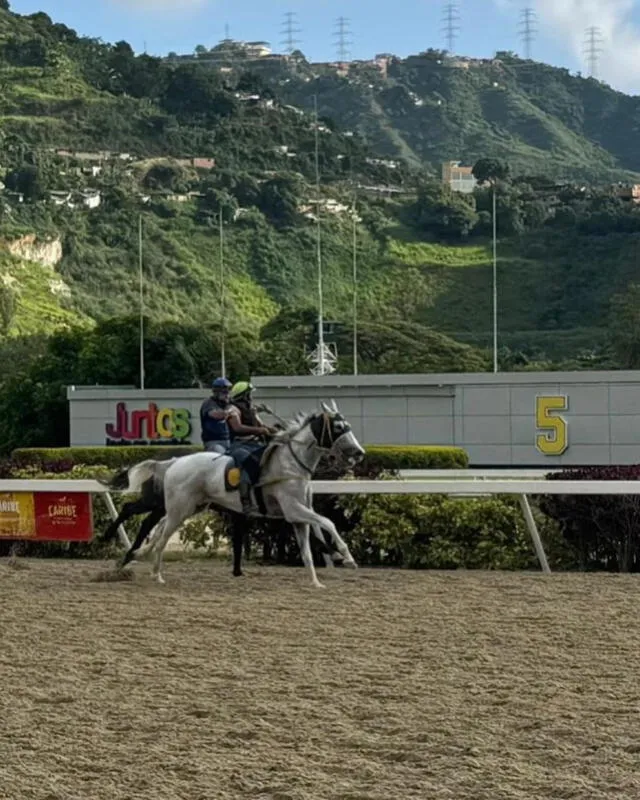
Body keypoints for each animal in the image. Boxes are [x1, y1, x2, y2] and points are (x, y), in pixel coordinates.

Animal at [124, 400, 364, 588]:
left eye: (348, 426)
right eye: (338, 427)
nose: (359, 452)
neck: (290, 464)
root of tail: (174, 462)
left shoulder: (298, 517)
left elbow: (308, 550)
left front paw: (316, 581)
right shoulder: (293, 509)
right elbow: (328, 522)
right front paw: (347, 557)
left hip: (191, 508)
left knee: (159, 529)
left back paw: (141, 556)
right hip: (179, 510)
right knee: (162, 538)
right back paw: (156, 574)